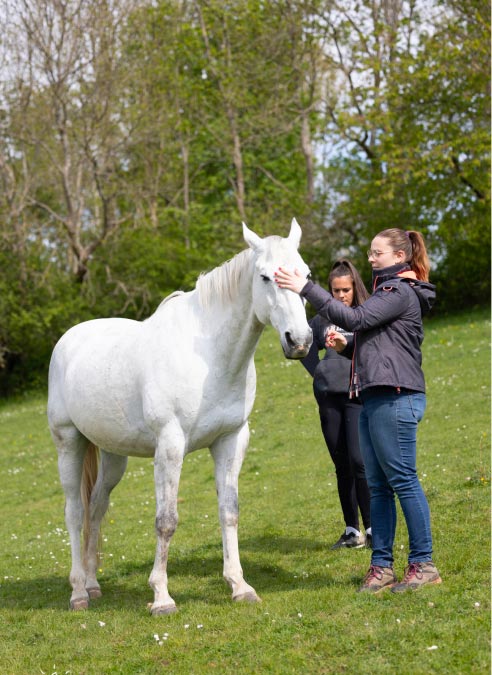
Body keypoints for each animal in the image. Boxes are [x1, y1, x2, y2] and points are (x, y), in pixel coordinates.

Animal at [49, 219, 312, 616]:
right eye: (266, 276)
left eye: (306, 275)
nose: (299, 340)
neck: (210, 358)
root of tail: (67, 340)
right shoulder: (170, 445)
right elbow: (166, 521)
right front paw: (161, 597)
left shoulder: (231, 440)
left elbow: (229, 512)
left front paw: (240, 586)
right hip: (69, 442)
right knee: (74, 512)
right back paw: (79, 592)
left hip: (112, 455)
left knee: (96, 509)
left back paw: (93, 585)